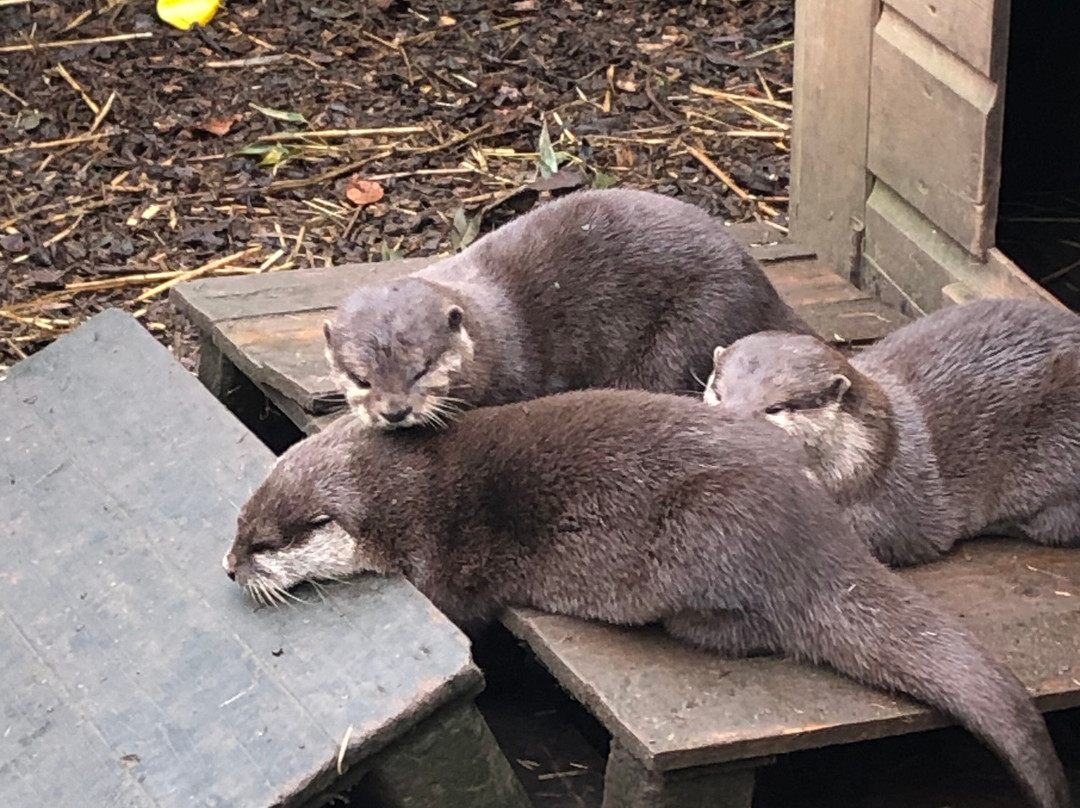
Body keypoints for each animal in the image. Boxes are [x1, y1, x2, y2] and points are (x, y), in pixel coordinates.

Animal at [225, 390, 1067, 808]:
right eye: (238, 523)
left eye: (266, 543)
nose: (231, 568)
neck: (404, 484)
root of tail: (817, 537)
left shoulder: (436, 553)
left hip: (707, 533)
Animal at [322, 188, 814, 429]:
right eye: (361, 378)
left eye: (422, 370)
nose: (394, 411)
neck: (491, 337)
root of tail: (763, 287)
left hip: (697, 319)